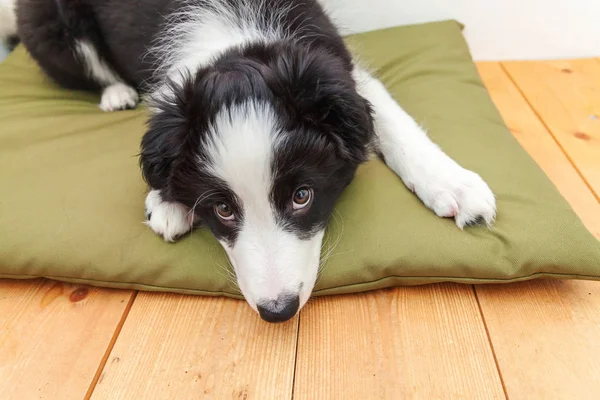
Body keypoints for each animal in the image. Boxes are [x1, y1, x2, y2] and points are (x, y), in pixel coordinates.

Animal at [15, 0, 496, 322]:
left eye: (302, 196)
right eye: (223, 209)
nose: (277, 311)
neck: (236, 42)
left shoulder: (338, 74)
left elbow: (390, 118)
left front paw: (452, 182)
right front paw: (167, 201)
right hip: (58, 28)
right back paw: (117, 94)